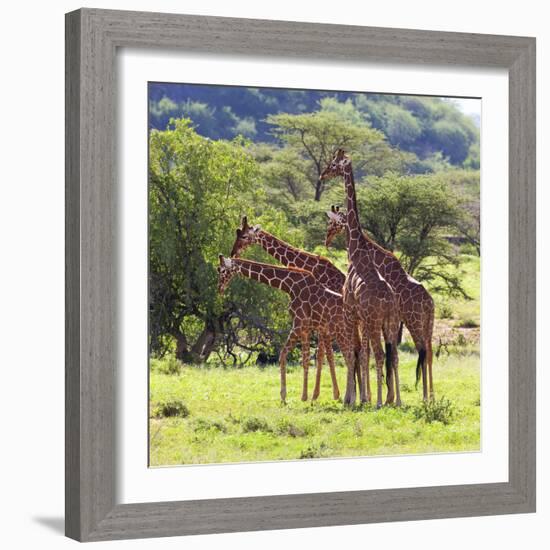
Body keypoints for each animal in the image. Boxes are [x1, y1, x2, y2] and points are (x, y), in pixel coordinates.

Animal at [216, 256, 362, 406]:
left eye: (221, 270)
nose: (219, 288)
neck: (290, 286)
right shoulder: (305, 329)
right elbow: (305, 359)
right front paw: (305, 396)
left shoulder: (298, 325)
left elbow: (283, 354)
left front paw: (284, 396)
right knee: (352, 356)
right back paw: (350, 398)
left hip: (341, 332)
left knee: (351, 357)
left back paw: (349, 400)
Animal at [232, 217, 352, 402]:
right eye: (237, 234)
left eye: (244, 236)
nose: (233, 252)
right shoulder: (320, 323)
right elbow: (324, 355)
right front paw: (325, 394)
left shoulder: (320, 322)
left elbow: (322, 355)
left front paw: (319, 395)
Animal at [322, 151, 404, 410]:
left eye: (333, 164)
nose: (322, 174)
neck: (357, 253)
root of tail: (388, 302)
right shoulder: (360, 318)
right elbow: (360, 353)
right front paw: (359, 397)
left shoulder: (350, 311)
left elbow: (353, 352)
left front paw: (351, 399)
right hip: (390, 322)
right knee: (393, 356)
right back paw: (397, 401)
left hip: (374, 321)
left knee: (379, 354)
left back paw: (378, 402)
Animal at [326, 205, 438, 404]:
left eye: (332, 221)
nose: (327, 238)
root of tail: (429, 303)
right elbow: (384, 354)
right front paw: (386, 397)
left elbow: (371, 353)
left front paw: (376, 397)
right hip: (428, 324)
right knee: (429, 353)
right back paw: (430, 396)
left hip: (414, 322)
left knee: (422, 352)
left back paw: (425, 397)